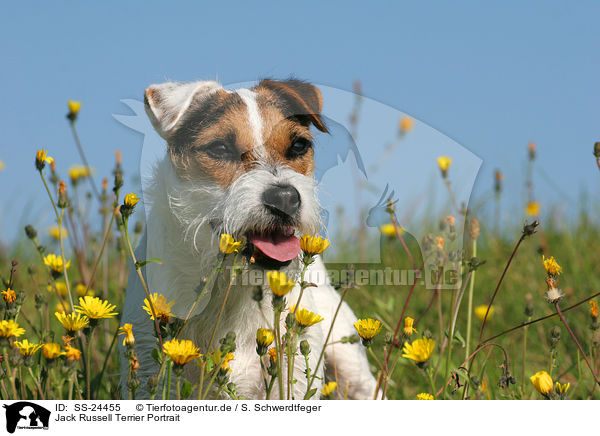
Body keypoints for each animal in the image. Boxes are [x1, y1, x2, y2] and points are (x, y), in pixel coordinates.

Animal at [119, 78, 378, 398]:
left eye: (299, 145)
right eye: (220, 148)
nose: (285, 198)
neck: (232, 290)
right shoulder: (148, 372)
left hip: (351, 363)